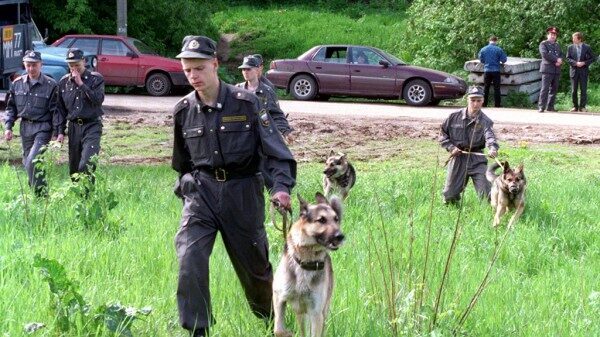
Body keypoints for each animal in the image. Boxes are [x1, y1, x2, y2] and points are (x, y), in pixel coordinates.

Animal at [272, 192, 342, 336]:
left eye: (336, 219)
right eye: (321, 220)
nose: (340, 236)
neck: (305, 262)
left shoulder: (316, 313)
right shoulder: (278, 297)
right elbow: (279, 330)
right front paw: (288, 333)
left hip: (321, 312)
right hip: (301, 314)